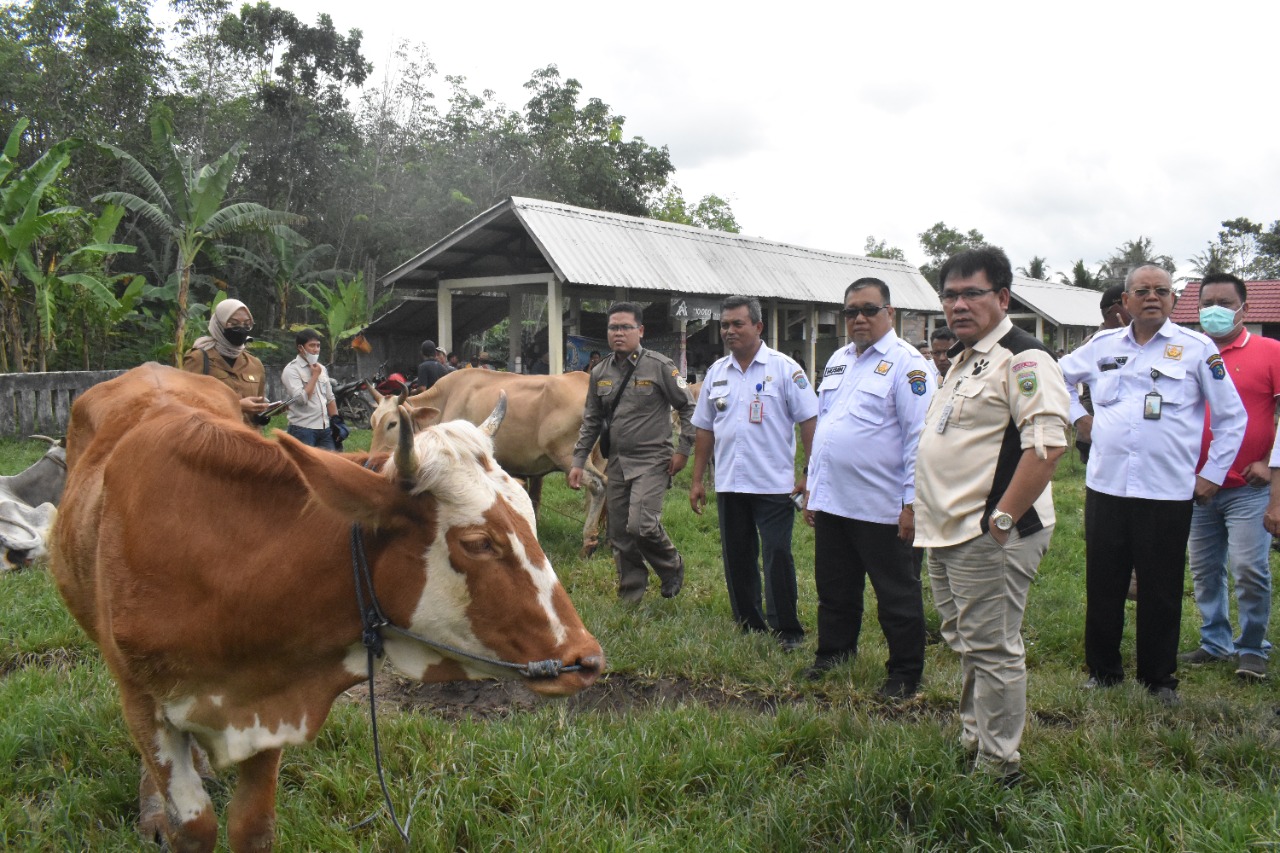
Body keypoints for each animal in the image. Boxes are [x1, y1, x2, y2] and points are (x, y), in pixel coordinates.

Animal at [371, 366, 609, 555]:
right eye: (372, 421)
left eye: (392, 423)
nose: (373, 461)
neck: (447, 397)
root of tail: (584, 380)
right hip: (597, 458)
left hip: (569, 456)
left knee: (598, 486)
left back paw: (589, 541)